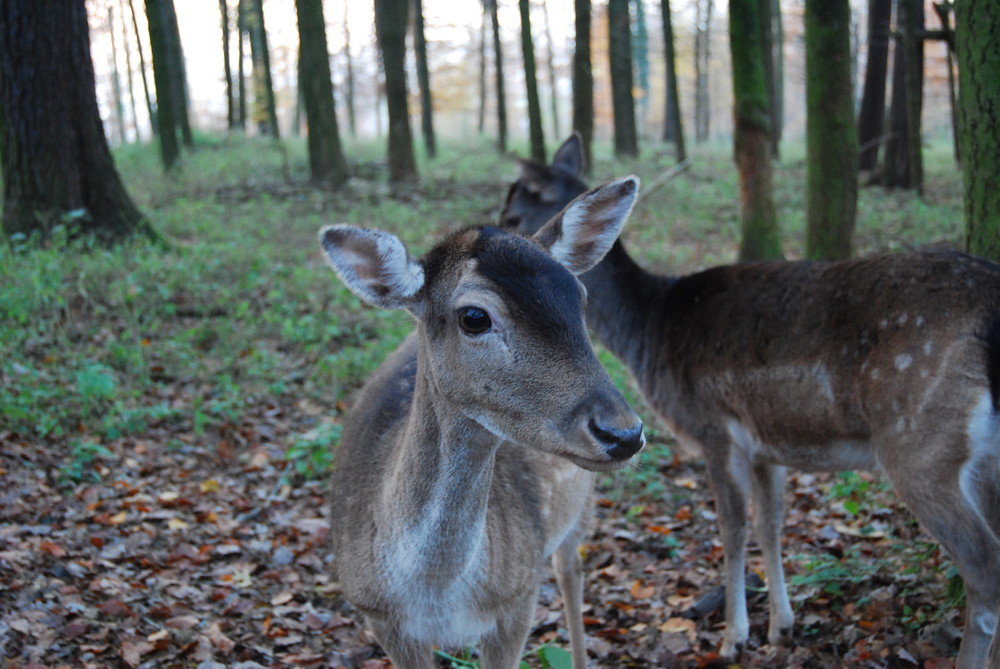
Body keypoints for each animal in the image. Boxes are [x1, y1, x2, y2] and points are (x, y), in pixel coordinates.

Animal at [320, 177, 648, 668]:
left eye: (581, 298)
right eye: (473, 316)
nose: (623, 432)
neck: (437, 599)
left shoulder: (517, 599)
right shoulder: (377, 615)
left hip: (579, 507)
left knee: (570, 569)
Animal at [504, 134, 1000, 668]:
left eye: (513, 215)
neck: (650, 330)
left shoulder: (714, 429)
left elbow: (733, 528)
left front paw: (733, 638)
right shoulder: (767, 446)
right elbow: (771, 524)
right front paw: (782, 627)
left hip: (919, 442)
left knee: (984, 565)